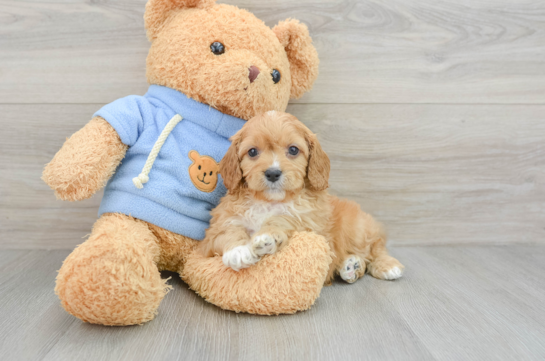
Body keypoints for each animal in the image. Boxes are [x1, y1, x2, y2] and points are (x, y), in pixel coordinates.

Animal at [198, 111, 402, 282]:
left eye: (293, 150)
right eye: (253, 152)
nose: (273, 173)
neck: (269, 201)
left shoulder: (310, 224)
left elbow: (285, 218)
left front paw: (267, 235)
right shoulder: (213, 235)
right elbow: (226, 233)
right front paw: (238, 251)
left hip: (358, 228)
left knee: (376, 247)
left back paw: (387, 265)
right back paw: (350, 266)